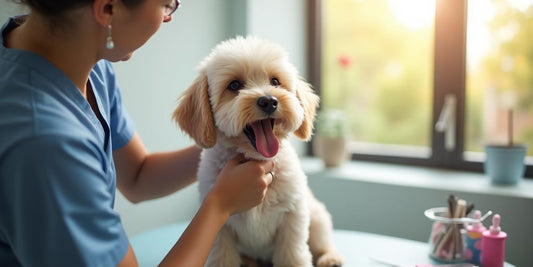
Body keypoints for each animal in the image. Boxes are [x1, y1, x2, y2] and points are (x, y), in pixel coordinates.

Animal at [172, 36, 342, 267]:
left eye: (275, 81)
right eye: (234, 85)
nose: (269, 100)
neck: (257, 159)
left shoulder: (293, 215)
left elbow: (293, 256)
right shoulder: (220, 227)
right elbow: (223, 257)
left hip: (317, 217)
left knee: (322, 242)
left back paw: (330, 257)